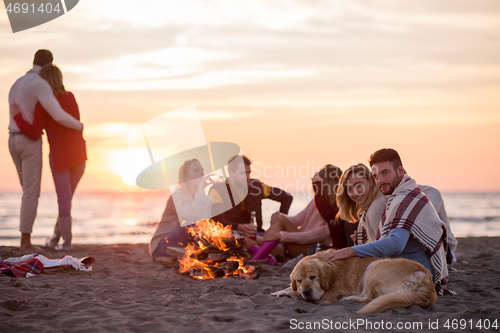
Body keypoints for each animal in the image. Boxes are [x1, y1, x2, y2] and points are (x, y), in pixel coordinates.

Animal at [274, 252, 438, 314]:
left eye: (313, 277)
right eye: (299, 280)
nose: (306, 291)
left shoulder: (332, 292)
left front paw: (288, 292)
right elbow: (291, 289)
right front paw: (280, 291)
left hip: (374, 266)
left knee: (371, 298)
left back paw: (348, 299)